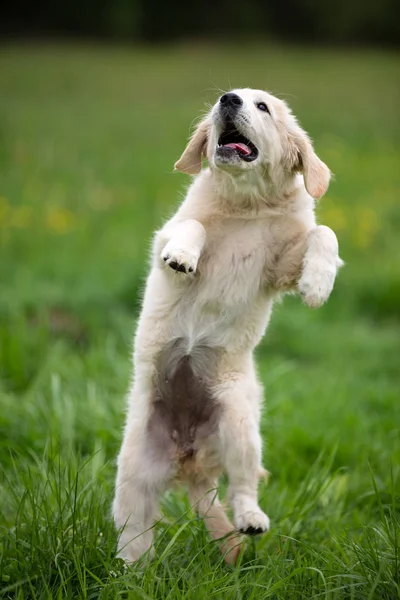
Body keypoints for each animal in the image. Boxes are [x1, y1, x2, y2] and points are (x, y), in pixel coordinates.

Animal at [113, 88, 344, 564]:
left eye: (263, 107)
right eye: (235, 95)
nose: (228, 99)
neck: (247, 205)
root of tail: (188, 457)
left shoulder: (279, 267)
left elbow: (324, 232)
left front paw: (318, 284)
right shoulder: (163, 238)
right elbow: (192, 226)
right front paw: (184, 255)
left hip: (239, 423)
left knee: (242, 486)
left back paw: (251, 519)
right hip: (134, 477)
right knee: (135, 532)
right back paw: (130, 572)